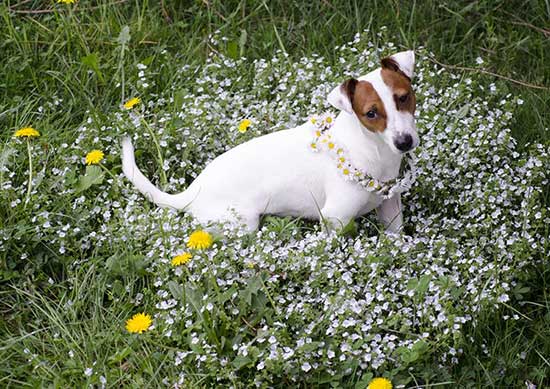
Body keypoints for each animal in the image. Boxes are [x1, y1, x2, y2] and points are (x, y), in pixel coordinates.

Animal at [123, 48, 420, 230]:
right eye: (371, 113)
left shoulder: (390, 208)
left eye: (404, 97)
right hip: (243, 223)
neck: (371, 150)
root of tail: (191, 193)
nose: (404, 142)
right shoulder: (335, 217)